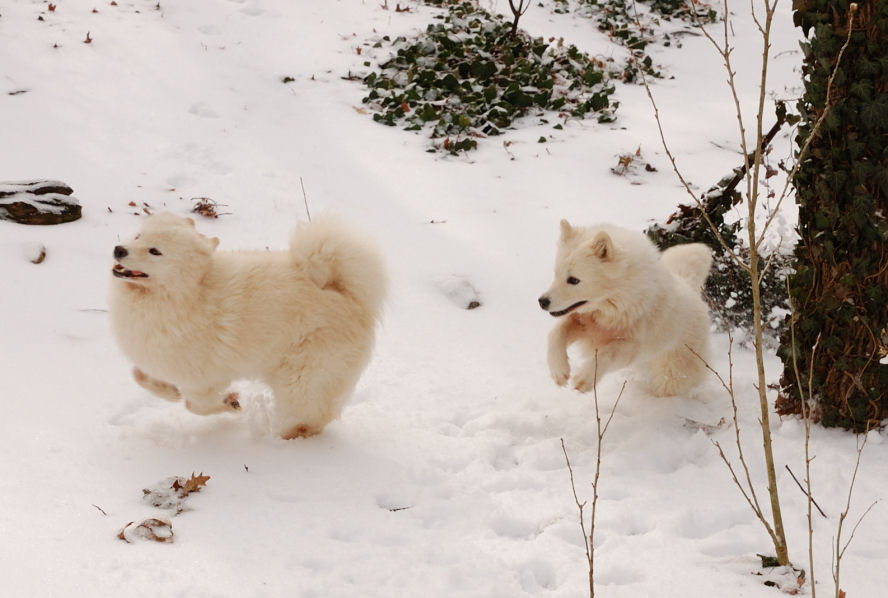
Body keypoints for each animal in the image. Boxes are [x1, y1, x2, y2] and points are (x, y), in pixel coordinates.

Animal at [107, 214, 386, 440]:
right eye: (139, 236)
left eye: (155, 251)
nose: (119, 249)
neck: (187, 293)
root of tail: (348, 296)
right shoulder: (160, 360)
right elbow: (140, 375)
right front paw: (169, 392)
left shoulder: (204, 380)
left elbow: (196, 406)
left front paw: (230, 403)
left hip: (301, 381)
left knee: (310, 419)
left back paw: (286, 441)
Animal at [536, 220, 712, 398]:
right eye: (556, 274)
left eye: (573, 280)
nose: (542, 301)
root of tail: (689, 285)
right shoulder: (583, 323)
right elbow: (555, 333)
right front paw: (559, 370)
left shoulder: (631, 347)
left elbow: (607, 353)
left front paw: (585, 378)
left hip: (671, 376)